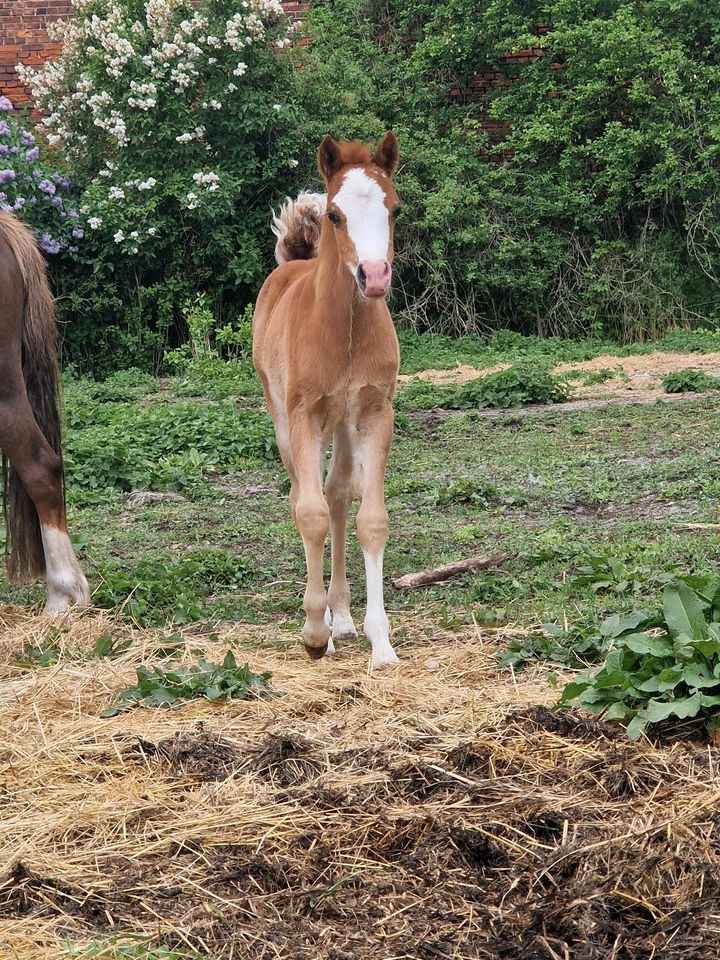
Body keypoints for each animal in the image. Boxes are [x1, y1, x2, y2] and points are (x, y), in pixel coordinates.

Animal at [252, 133, 400, 668]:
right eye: (335, 214)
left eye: (395, 209)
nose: (374, 276)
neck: (347, 332)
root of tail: (292, 263)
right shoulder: (303, 417)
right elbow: (310, 514)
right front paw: (316, 634)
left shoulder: (375, 413)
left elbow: (370, 519)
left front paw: (381, 643)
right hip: (283, 419)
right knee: (304, 496)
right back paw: (326, 624)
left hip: (342, 421)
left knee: (337, 493)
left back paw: (344, 616)